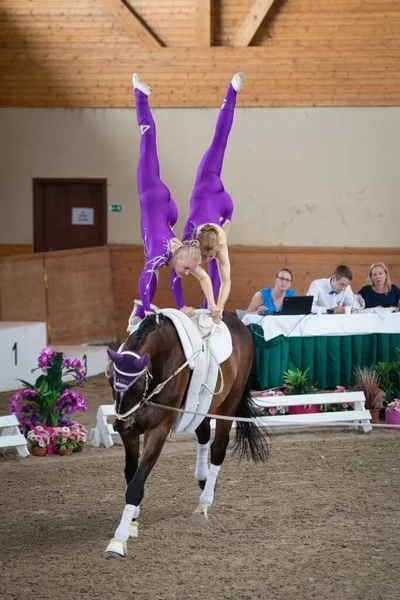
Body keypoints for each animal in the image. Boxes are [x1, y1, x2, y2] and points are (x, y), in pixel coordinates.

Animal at [104, 312, 268, 560]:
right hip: (201, 406)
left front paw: (117, 540)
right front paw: (132, 520)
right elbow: (131, 474)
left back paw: (204, 503)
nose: (119, 425)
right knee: (203, 433)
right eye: (112, 383)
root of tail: (235, 318)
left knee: (218, 448)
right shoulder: (131, 431)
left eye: (137, 386)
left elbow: (136, 484)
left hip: (229, 402)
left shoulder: (158, 429)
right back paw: (202, 477)